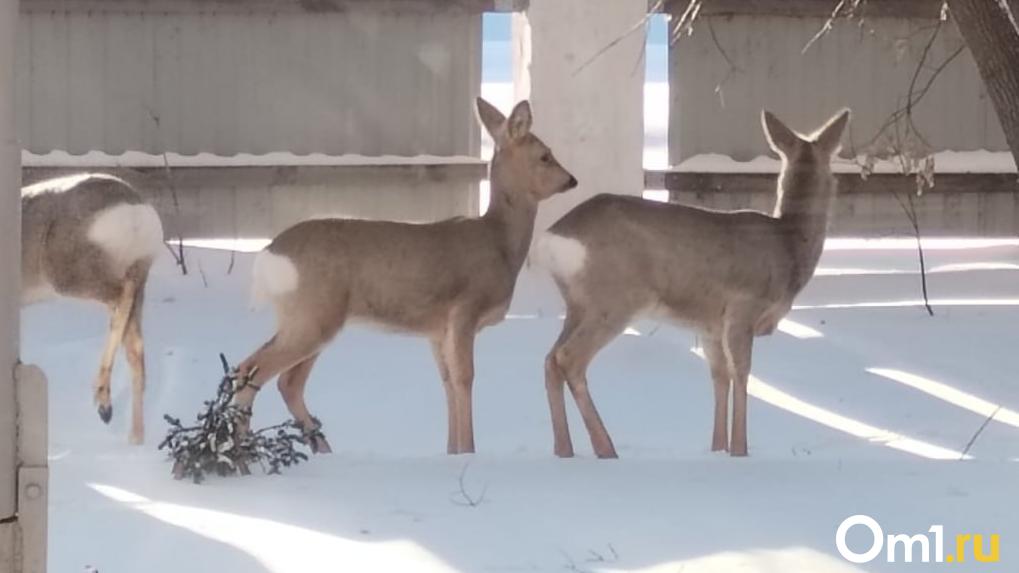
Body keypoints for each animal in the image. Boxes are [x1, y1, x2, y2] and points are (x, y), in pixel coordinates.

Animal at [20, 171, 165, 444]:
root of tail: (136, 212)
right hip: (140, 271)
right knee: (135, 346)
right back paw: (135, 436)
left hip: (71, 274)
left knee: (119, 298)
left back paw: (103, 400)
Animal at [233, 97, 578, 454]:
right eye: (545, 155)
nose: (571, 180)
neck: (498, 242)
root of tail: (268, 255)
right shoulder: (464, 309)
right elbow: (465, 378)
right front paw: (469, 450)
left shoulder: (437, 329)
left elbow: (447, 383)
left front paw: (452, 452)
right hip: (313, 315)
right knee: (253, 371)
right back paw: (243, 452)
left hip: (308, 317)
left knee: (285, 381)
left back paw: (318, 450)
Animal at [533, 106, 851, 454]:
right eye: (834, 167)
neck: (788, 246)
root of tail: (552, 240)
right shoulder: (743, 308)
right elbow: (742, 374)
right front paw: (741, 449)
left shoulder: (710, 325)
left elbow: (719, 377)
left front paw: (718, 448)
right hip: (615, 299)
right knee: (569, 359)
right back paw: (606, 449)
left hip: (578, 303)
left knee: (549, 360)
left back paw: (564, 450)